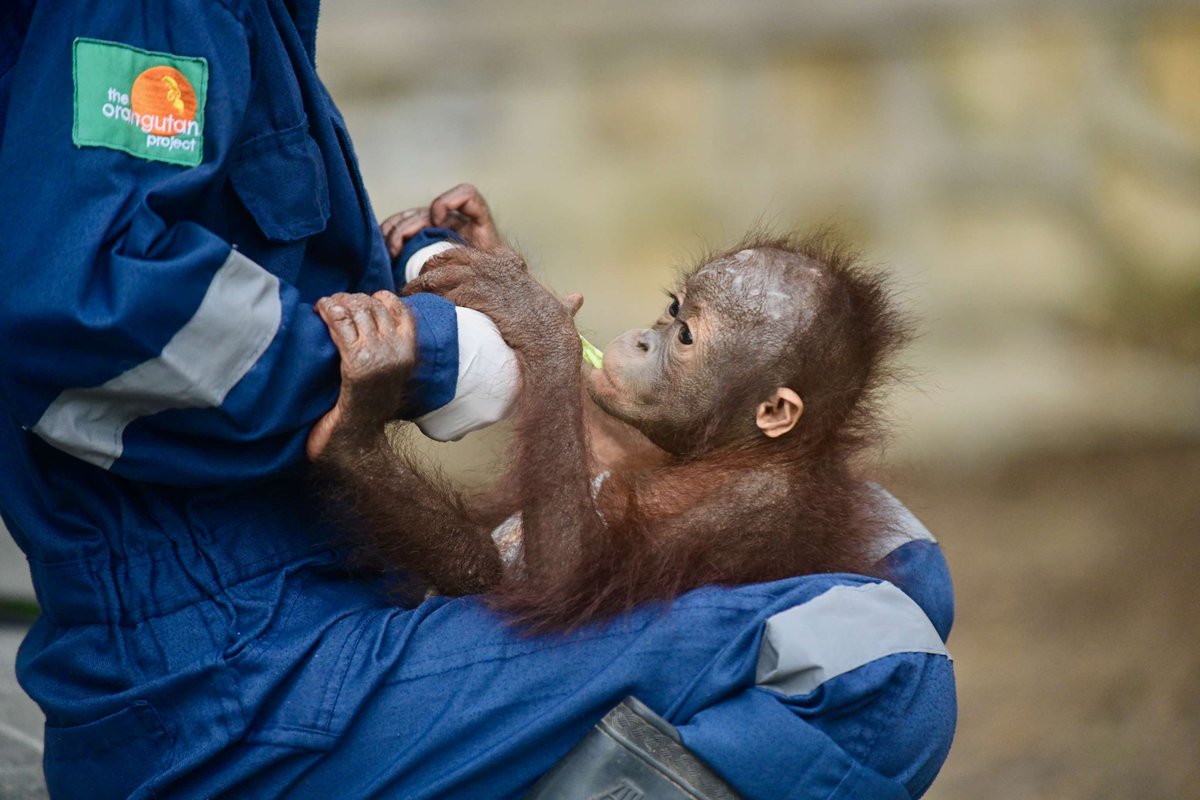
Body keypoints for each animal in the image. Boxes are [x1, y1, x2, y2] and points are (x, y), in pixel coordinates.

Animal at [309, 195, 911, 634]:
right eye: (673, 307)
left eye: (686, 337)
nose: (645, 339)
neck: (748, 450)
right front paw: (474, 228)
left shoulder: (743, 507)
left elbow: (564, 580)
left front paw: (534, 314)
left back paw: (355, 431)